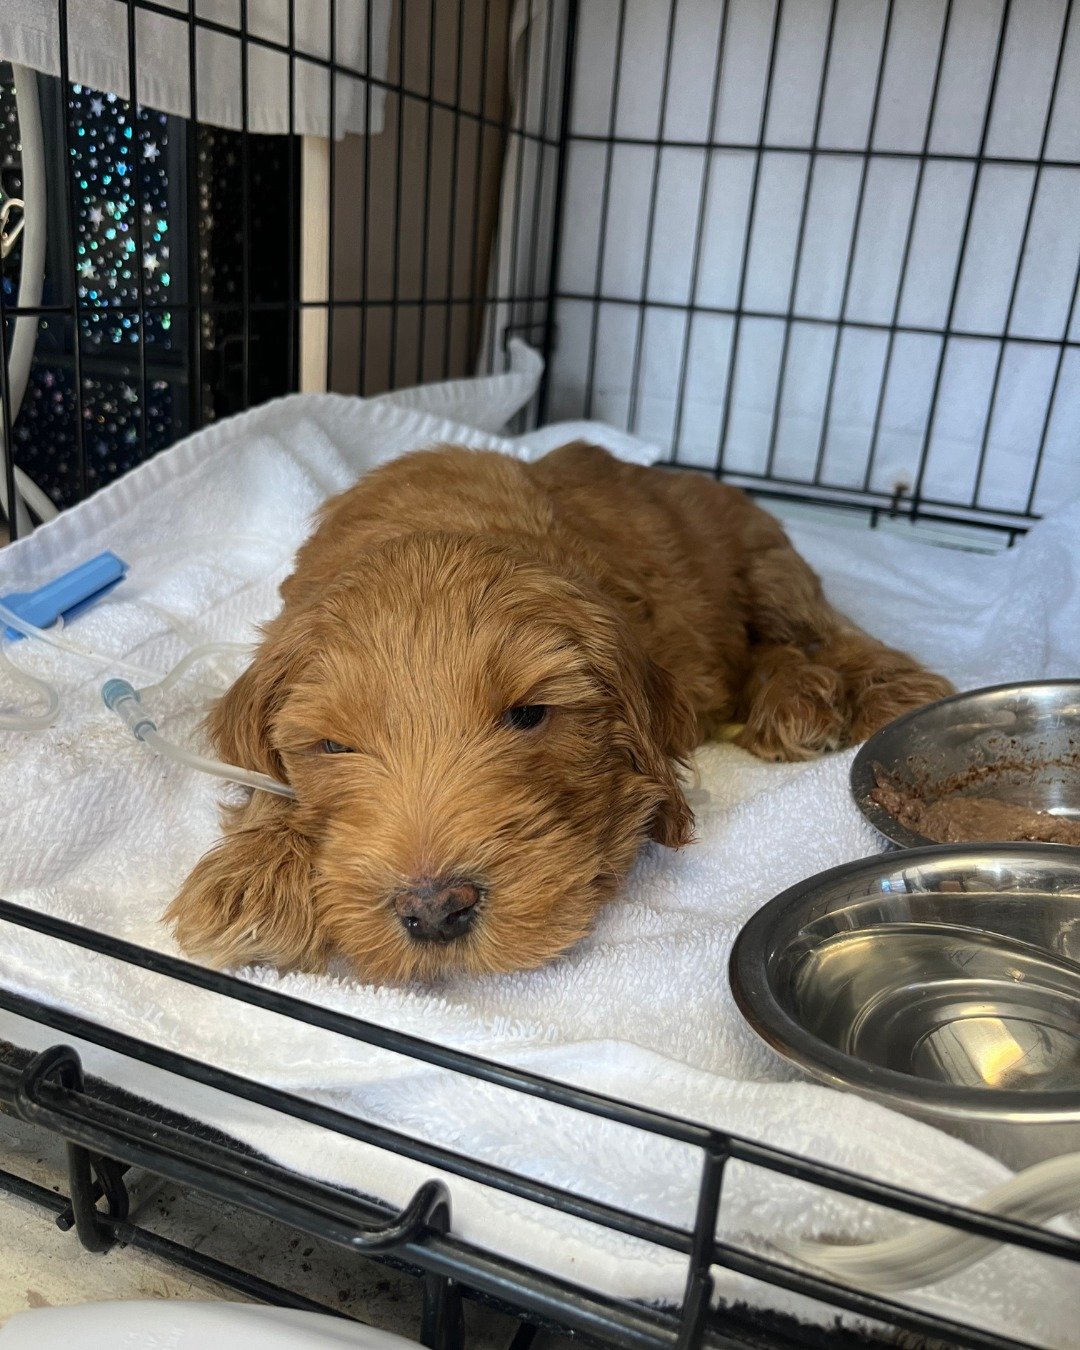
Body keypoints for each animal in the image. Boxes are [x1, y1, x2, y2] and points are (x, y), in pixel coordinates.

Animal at [164, 442, 950, 982]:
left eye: (529, 715)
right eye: (333, 747)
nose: (437, 910)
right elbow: (264, 787)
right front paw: (255, 880)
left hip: (768, 561)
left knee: (825, 628)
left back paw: (873, 691)